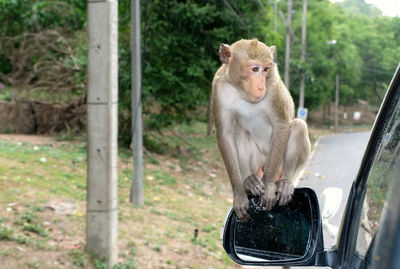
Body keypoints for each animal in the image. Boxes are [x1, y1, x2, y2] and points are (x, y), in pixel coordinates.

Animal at [212, 39, 310, 220]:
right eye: (255, 69)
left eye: (266, 69)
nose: (261, 87)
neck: (241, 91)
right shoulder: (219, 88)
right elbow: (225, 133)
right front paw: (239, 194)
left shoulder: (273, 86)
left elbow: (282, 125)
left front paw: (269, 187)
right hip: (257, 162)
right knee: (240, 131)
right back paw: (249, 180)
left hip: (278, 164)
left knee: (298, 126)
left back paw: (285, 182)